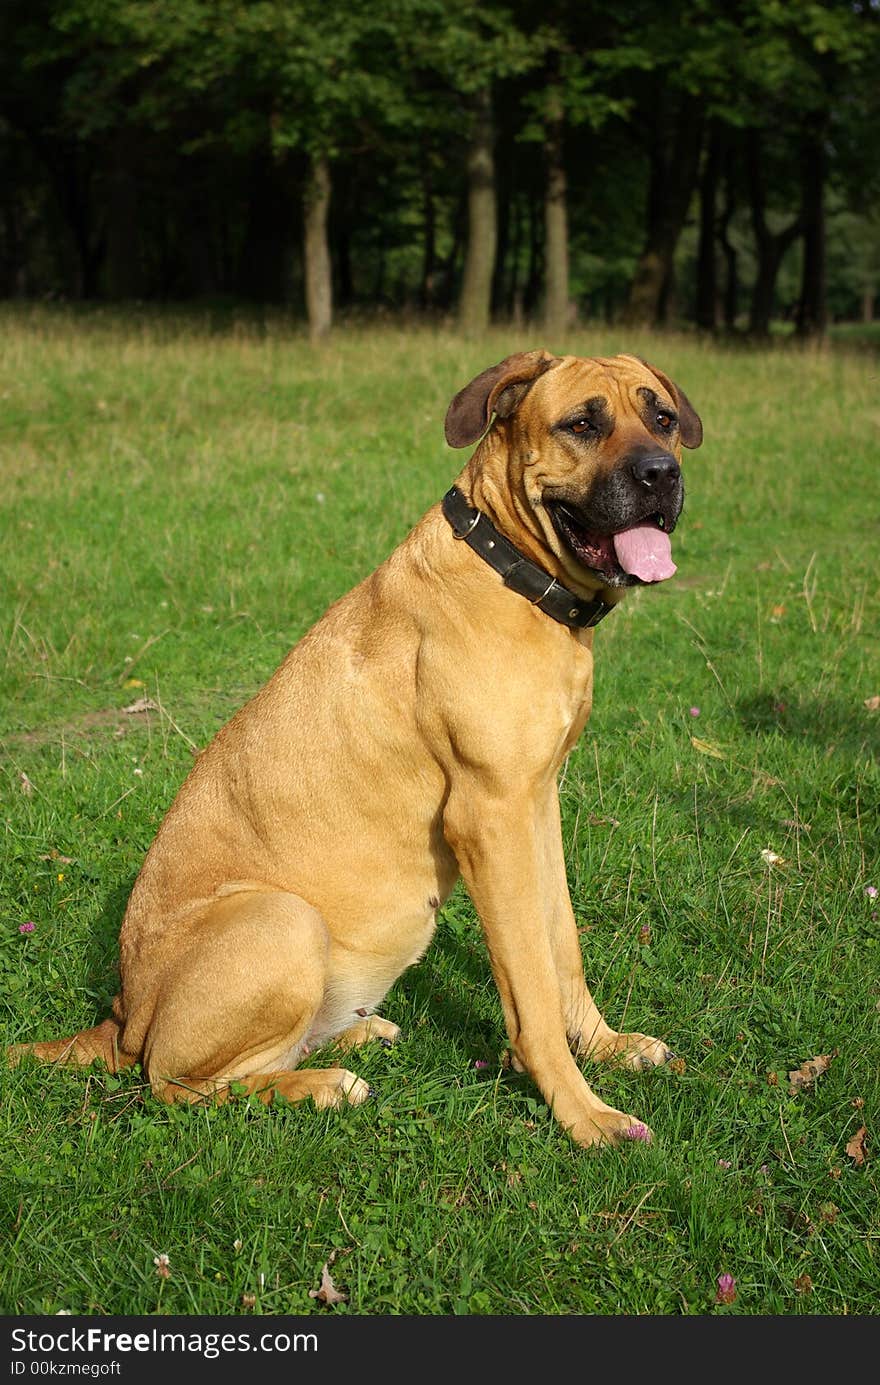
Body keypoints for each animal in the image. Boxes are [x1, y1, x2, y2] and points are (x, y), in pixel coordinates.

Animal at [10, 351, 701, 1152]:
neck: (513, 574)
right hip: (282, 921)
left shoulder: (538, 806)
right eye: (583, 424)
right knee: (177, 1083)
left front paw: (604, 1045)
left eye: (661, 417)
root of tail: (120, 1014)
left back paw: (351, 1036)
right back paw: (320, 1085)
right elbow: (529, 983)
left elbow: (563, 947)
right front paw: (582, 1111)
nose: (660, 474)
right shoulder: (490, 819)